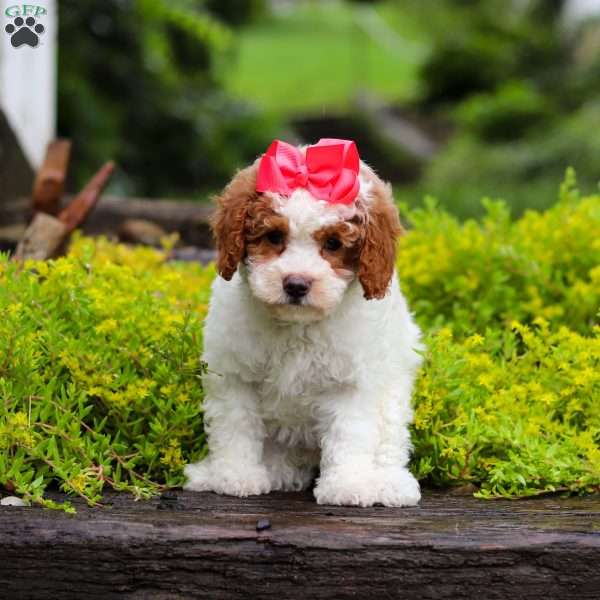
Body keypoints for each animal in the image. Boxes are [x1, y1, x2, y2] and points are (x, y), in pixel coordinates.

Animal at [185, 137, 424, 506]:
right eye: (273, 237)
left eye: (333, 243)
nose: (296, 284)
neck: (298, 325)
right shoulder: (234, 374)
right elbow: (235, 425)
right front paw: (234, 475)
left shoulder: (352, 380)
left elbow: (350, 433)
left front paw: (347, 485)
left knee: (389, 441)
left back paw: (388, 482)